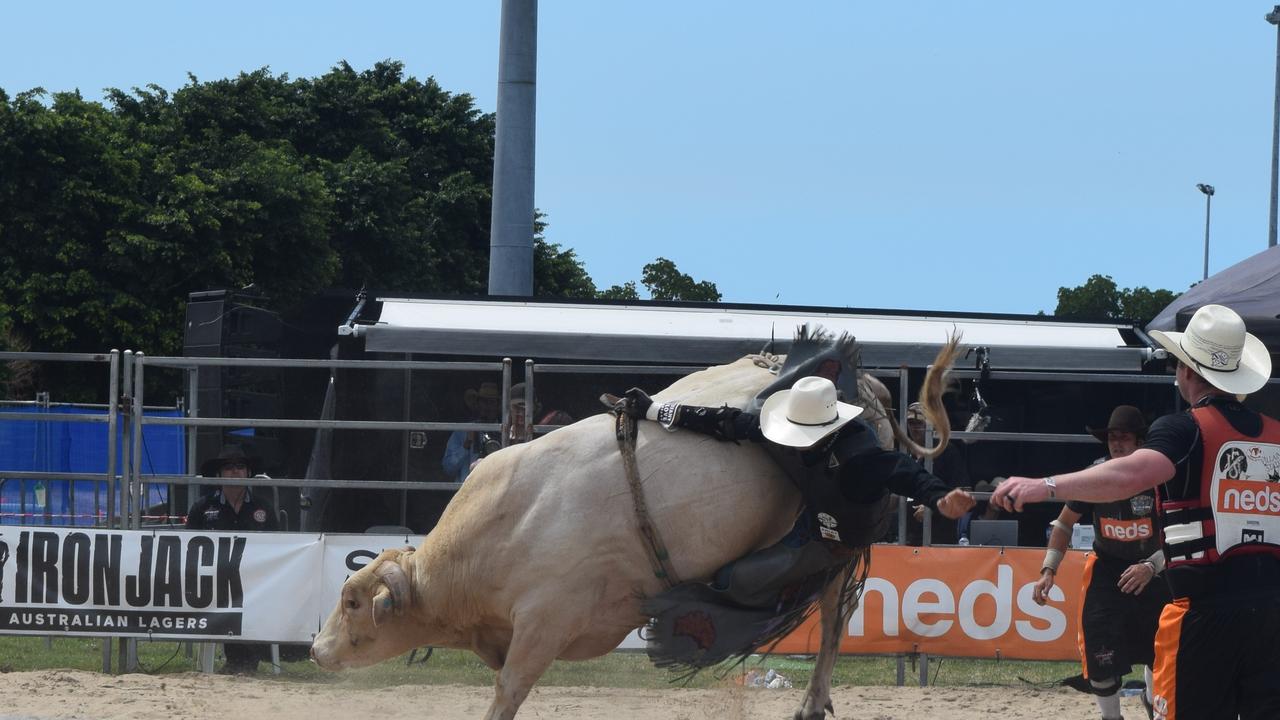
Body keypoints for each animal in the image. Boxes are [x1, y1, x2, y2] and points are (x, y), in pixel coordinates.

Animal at [312, 327, 962, 712]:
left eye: (352, 601)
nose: (316, 651)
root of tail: (870, 388)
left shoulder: (544, 620)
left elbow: (508, 690)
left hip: (830, 552)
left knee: (831, 618)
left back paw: (813, 701)